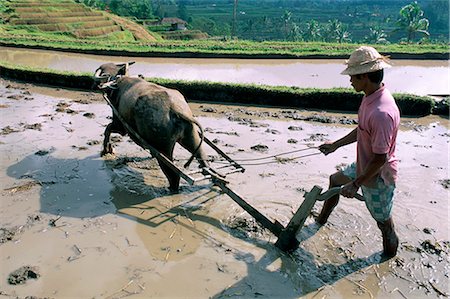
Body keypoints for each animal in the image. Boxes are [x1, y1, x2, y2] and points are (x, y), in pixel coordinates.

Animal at [94, 62, 209, 192]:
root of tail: (175, 109)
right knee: (203, 159)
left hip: (163, 148)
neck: (117, 82)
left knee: (173, 175)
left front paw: (107, 149)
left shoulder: (120, 124)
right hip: (191, 136)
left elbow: (108, 128)